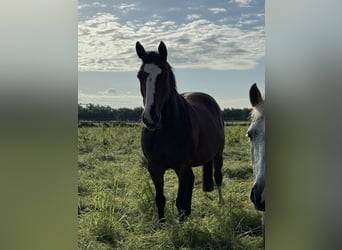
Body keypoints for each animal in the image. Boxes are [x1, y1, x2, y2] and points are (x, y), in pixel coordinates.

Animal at [135, 41, 226, 223]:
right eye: (140, 75)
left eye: (163, 75)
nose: (150, 119)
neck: (164, 131)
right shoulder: (154, 167)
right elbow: (160, 199)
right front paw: (162, 224)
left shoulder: (182, 167)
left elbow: (181, 201)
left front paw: (183, 224)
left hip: (218, 154)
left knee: (218, 176)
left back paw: (221, 203)